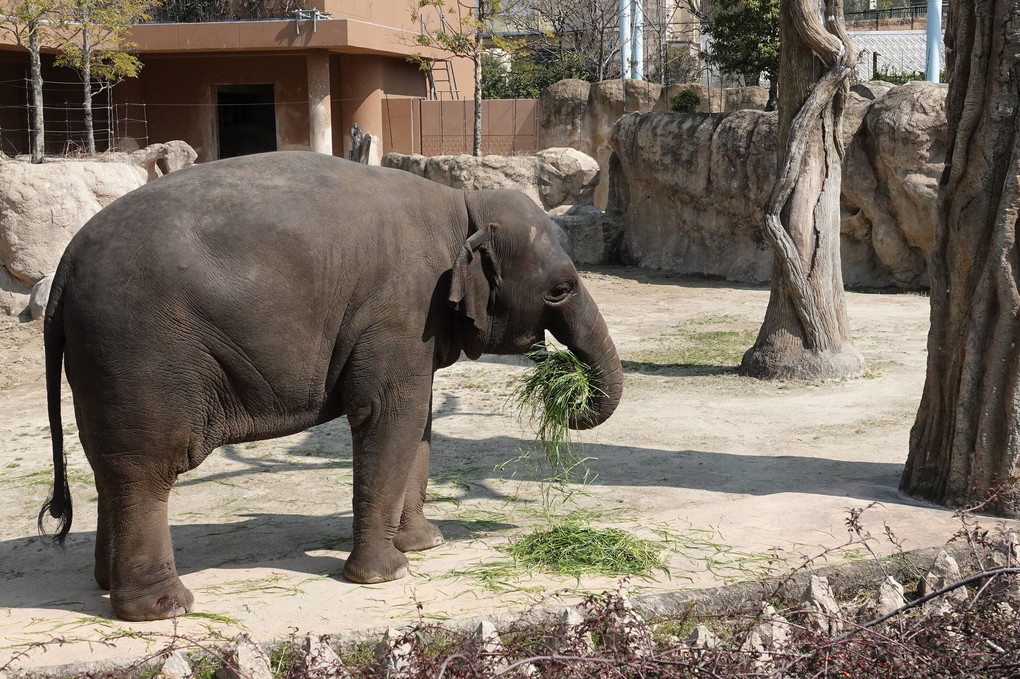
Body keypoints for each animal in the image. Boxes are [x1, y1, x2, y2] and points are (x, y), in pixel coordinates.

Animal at [39, 150, 620, 619]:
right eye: (560, 290)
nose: (568, 395)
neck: (463, 207)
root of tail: (65, 263)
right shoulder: (401, 310)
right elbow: (389, 416)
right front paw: (387, 574)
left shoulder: (417, 322)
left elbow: (419, 423)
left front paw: (424, 544)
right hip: (138, 351)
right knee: (147, 469)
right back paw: (165, 609)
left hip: (102, 359)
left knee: (110, 466)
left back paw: (106, 583)